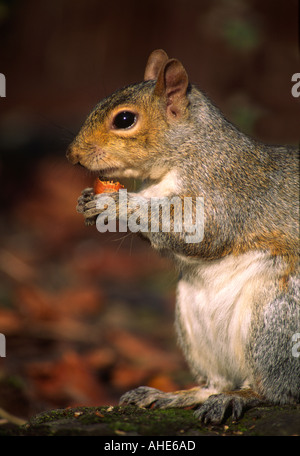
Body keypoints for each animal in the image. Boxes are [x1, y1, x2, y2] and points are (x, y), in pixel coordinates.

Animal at [67, 50, 300, 424]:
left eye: (125, 119)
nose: (72, 155)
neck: (190, 150)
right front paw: (87, 200)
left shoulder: (223, 191)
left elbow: (201, 230)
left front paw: (117, 203)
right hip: (194, 324)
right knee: (215, 382)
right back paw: (172, 395)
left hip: (276, 319)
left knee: (274, 391)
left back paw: (238, 397)